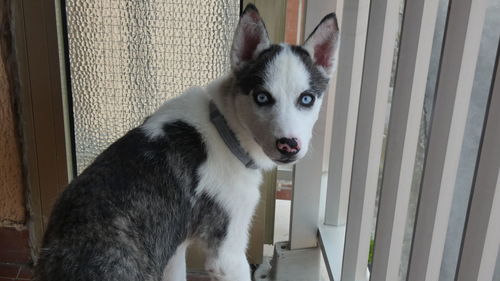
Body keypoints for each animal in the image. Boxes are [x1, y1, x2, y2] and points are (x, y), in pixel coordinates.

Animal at [33, 4, 340, 280]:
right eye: (262, 97)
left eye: (307, 99)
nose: (288, 146)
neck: (225, 129)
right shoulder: (226, 254)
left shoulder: (175, 248)